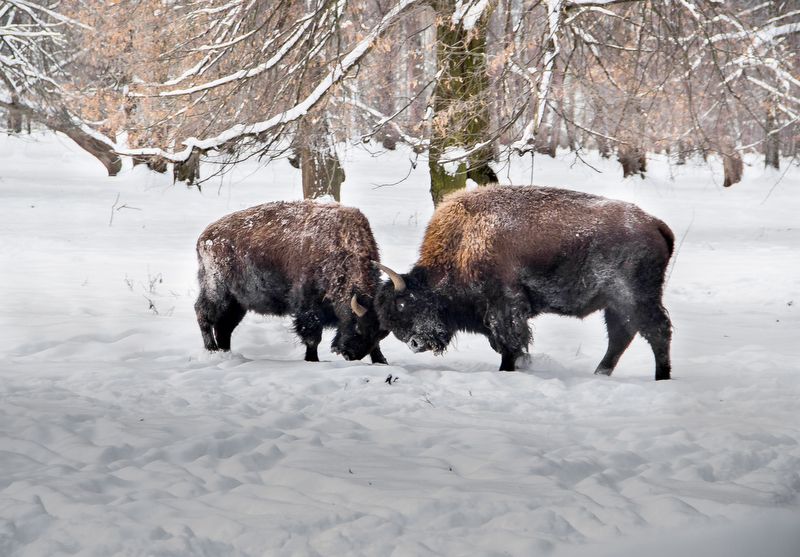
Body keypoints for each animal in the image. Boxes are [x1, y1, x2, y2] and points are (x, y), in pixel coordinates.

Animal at [195, 200, 388, 363]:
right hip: (217, 291)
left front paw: (381, 361)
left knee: (224, 327)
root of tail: (205, 236)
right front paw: (312, 360)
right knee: (203, 314)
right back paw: (212, 350)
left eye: (381, 334)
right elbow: (312, 338)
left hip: (238, 302)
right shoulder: (308, 307)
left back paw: (226, 353)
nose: (350, 354)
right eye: (358, 326)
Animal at [374, 186, 674, 380]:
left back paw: (661, 377)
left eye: (403, 304)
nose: (415, 343)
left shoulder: (504, 307)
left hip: (635, 297)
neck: (462, 244)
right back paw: (601, 374)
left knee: (657, 331)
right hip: (615, 305)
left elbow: (510, 344)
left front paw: (508, 370)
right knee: (621, 336)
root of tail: (654, 224)